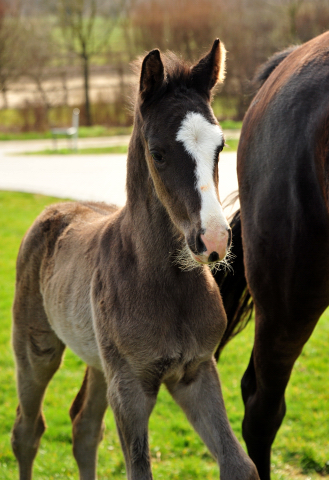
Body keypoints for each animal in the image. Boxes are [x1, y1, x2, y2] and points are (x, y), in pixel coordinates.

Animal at [10, 40, 258, 480]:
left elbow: (239, 464)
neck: (166, 285)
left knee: (83, 427)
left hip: (97, 362)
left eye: (221, 146)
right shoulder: (130, 385)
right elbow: (138, 468)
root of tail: (53, 211)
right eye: (158, 153)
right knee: (27, 430)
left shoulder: (196, 371)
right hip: (35, 348)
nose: (214, 239)